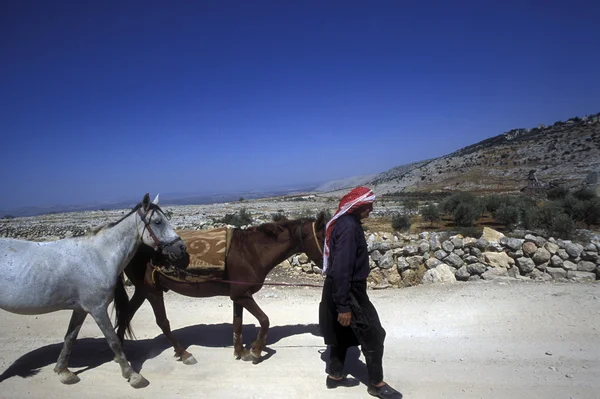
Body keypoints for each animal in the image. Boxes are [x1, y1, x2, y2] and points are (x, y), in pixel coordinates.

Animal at [0, 192, 186, 390]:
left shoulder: (80, 309)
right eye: (158, 222)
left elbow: (70, 338)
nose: (181, 248)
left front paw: (63, 372)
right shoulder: (97, 309)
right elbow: (113, 341)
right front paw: (133, 375)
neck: (99, 257)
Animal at [114, 212, 326, 366]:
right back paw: (184, 353)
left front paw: (240, 351)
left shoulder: (239, 296)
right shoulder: (242, 296)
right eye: (323, 237)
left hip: (142, 290)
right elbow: (265, 320)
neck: (252, 251)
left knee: (125, 314)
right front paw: (256, 351)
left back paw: (121, 353)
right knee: (162, 322)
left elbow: (237, 323)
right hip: (152, 291)